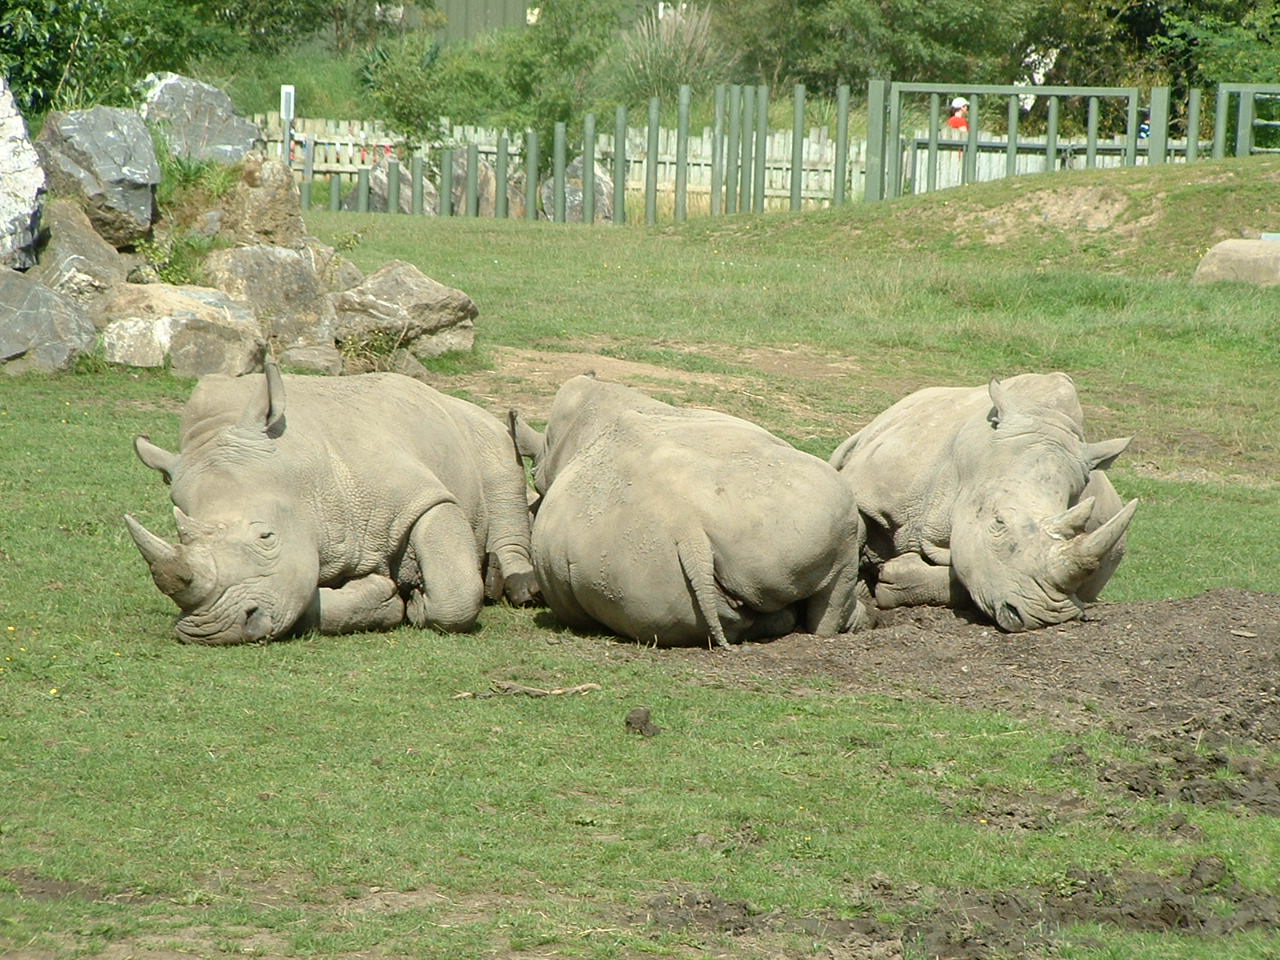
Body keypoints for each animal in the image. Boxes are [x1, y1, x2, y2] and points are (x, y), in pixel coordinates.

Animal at [125, 363, 538, 644]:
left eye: (266, 538)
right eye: (182, 536)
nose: (213, 630)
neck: (304, 477)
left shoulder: (421, 497)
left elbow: (455, 591)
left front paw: (419, 604)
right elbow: (300, 595)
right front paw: (383, 599)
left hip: (482, 425)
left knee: (502, 468)